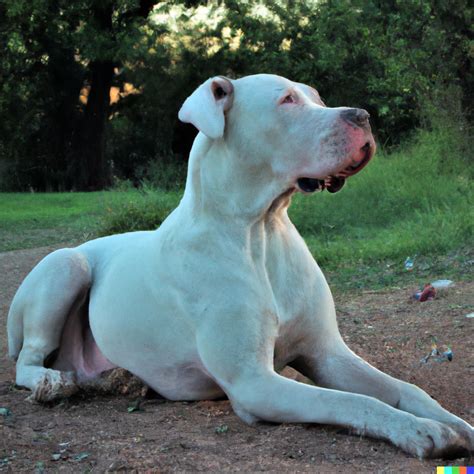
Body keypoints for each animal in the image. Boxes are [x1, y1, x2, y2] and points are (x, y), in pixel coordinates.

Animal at [7, 75, 474, 460]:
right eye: (287, 100)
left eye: (319, 97)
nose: (362, 115)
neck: (261, 230)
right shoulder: (254, 383)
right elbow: (352, 401)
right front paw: (417, 431)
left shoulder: (327, 353)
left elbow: (404, 388)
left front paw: (453, 422)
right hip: (65, 265)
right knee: (27, 361)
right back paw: (51, 383)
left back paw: (115, 378)